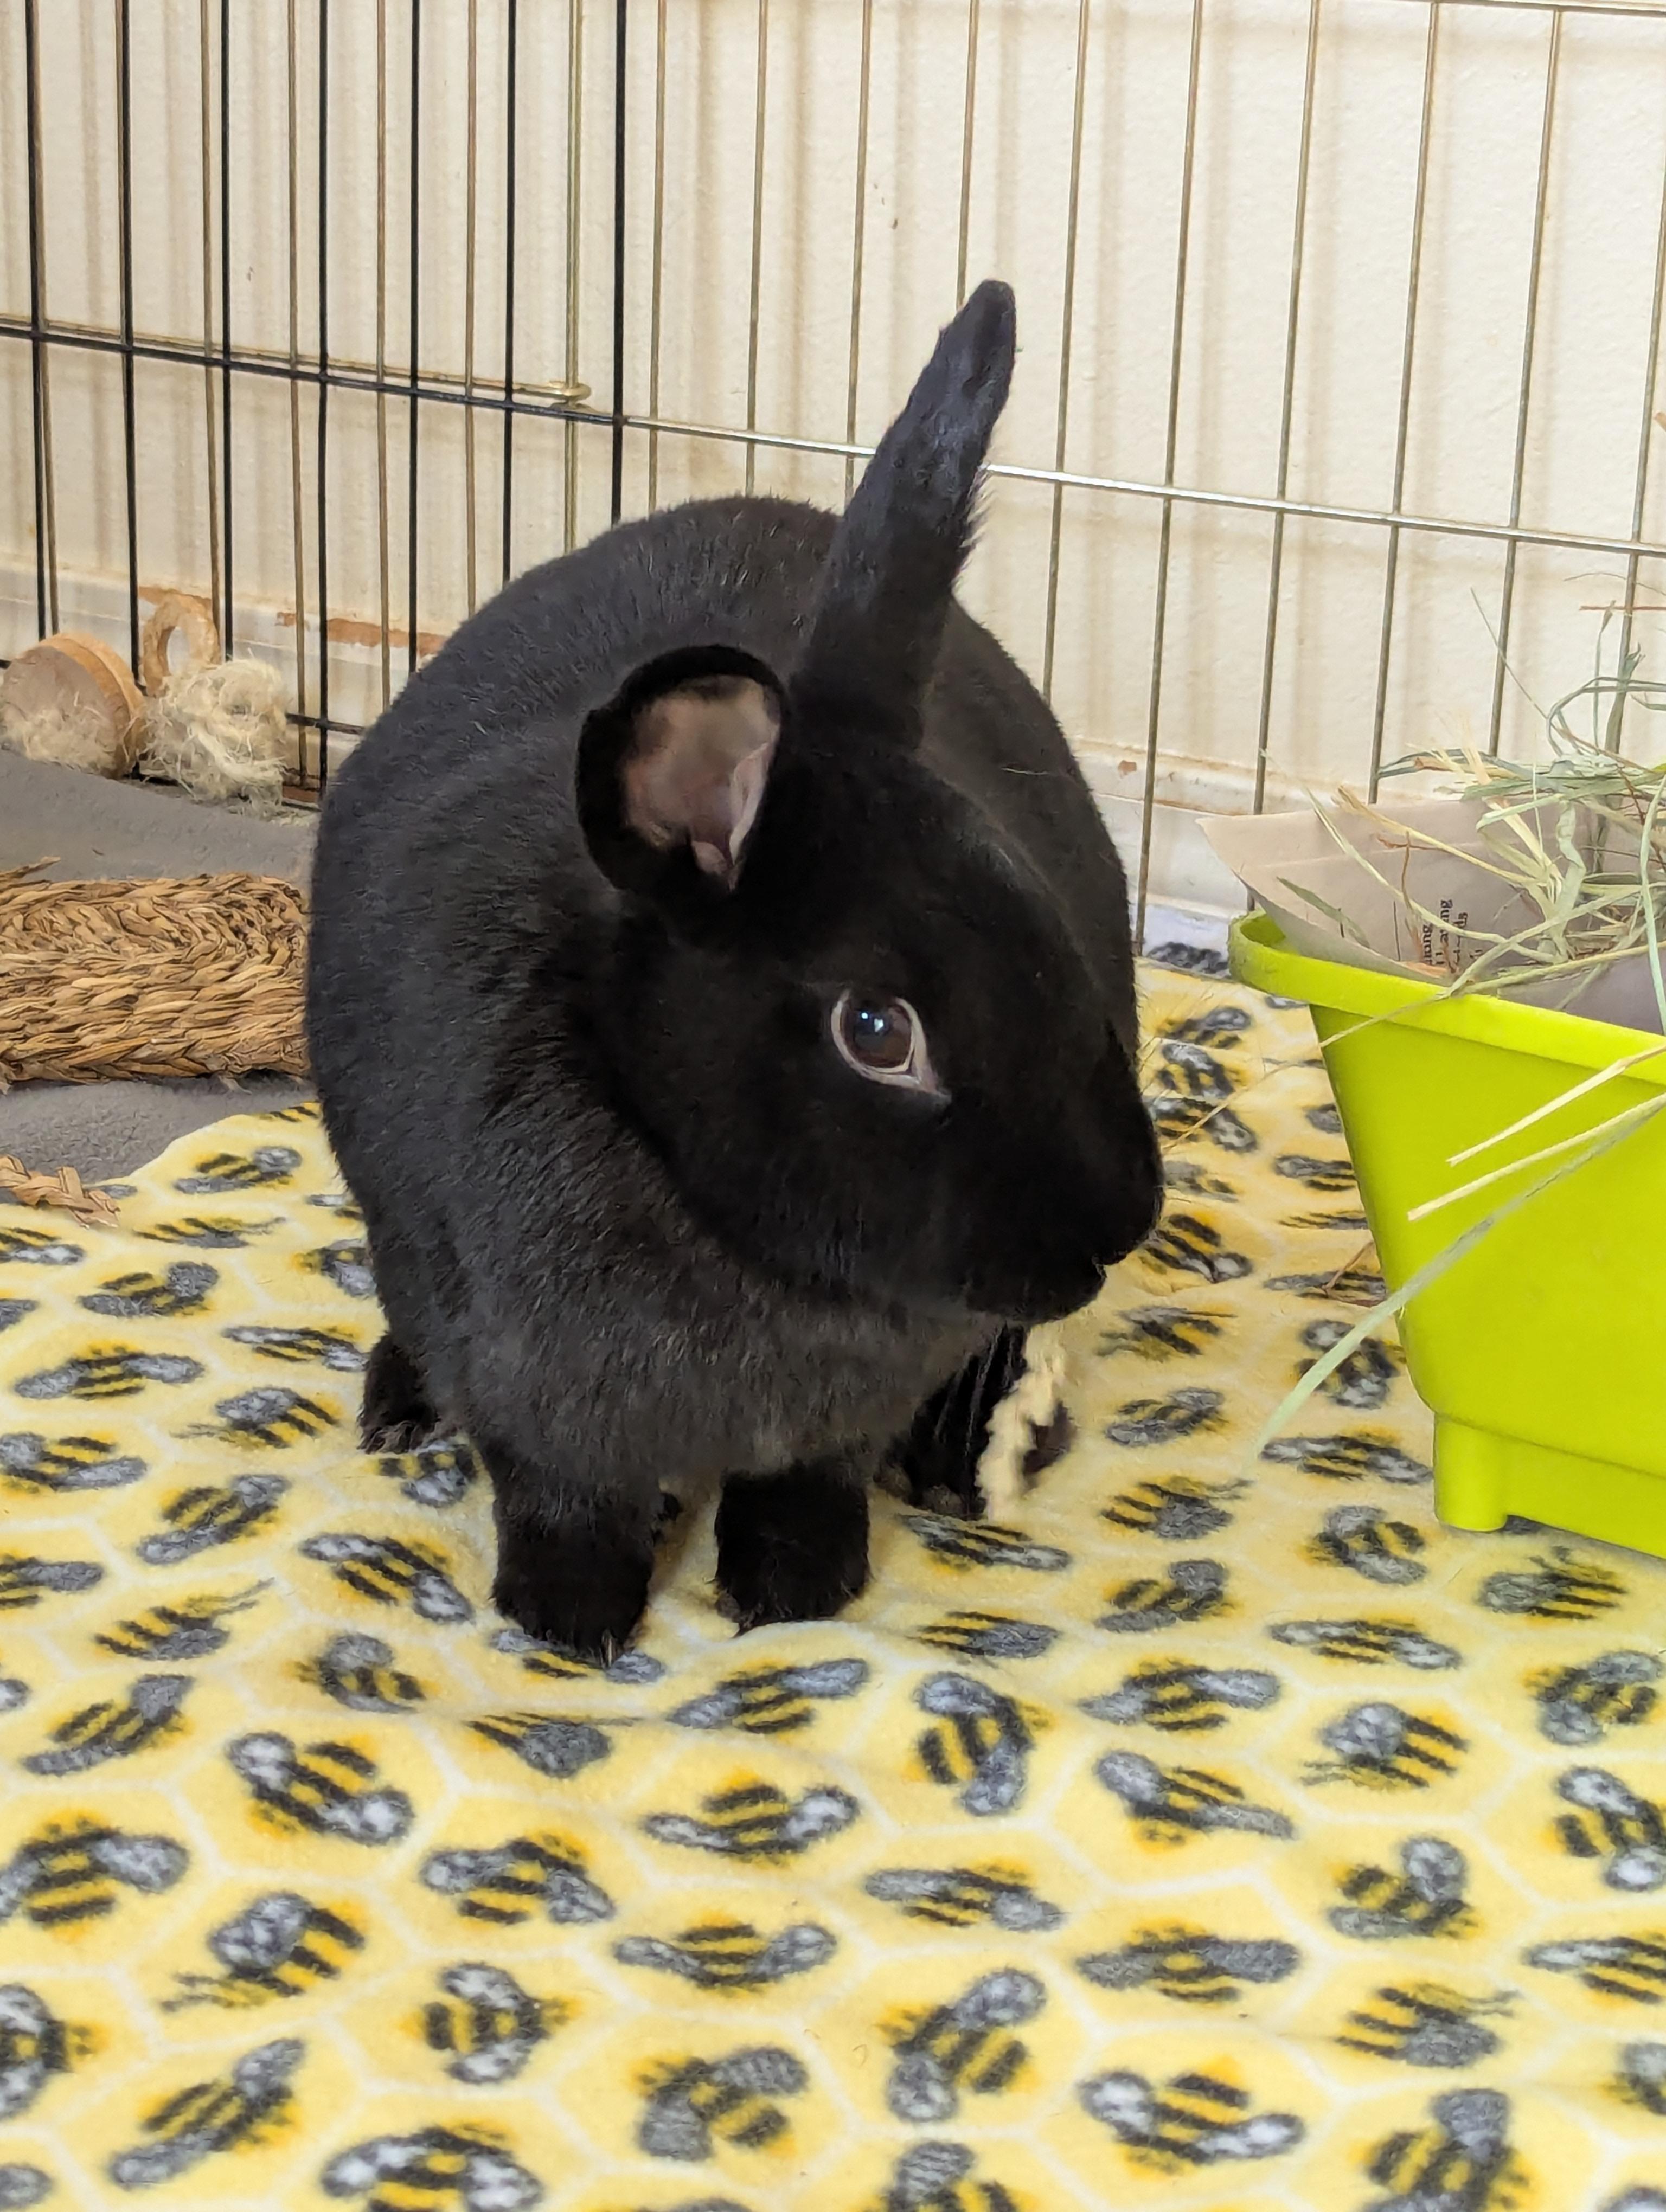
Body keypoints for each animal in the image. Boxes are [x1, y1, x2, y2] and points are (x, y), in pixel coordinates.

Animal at [306, 279, 1161, 1661]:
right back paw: (394, 1407)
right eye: (877, 1030)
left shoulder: (831, 1420)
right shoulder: (520, 1381)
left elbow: (805, 1479)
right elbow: (559, 1492)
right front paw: (567, 1623)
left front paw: (793, 1592)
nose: (1118, 1224)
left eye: (1040, 926)